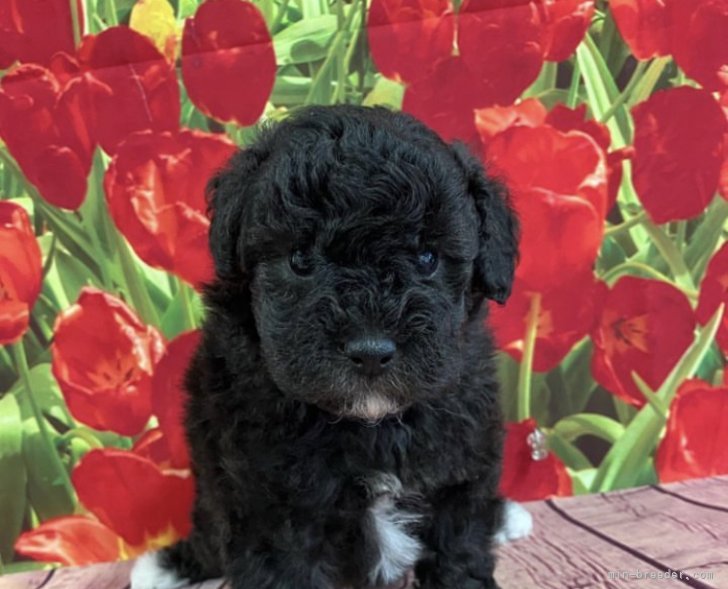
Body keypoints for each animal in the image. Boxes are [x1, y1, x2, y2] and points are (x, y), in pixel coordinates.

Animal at [130, 105, 528, 589]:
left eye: (427, 258)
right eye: (301, 258)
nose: (371, 350)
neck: (372, 424)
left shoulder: (459, 470)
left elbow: (459, 547)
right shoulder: (273, 504)